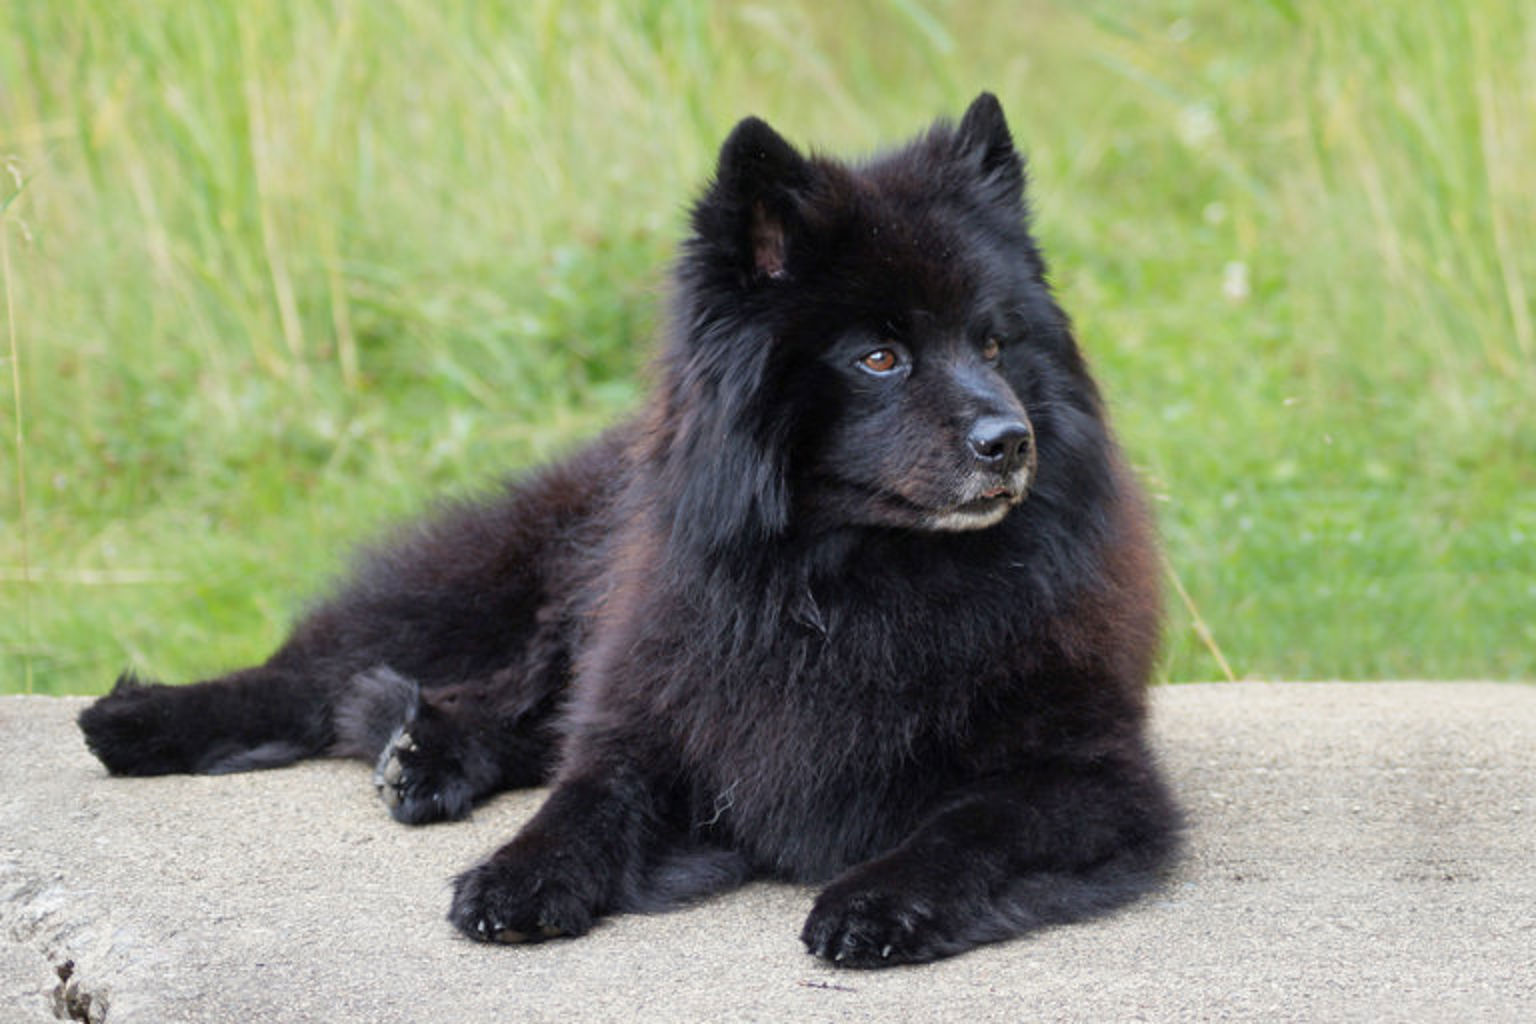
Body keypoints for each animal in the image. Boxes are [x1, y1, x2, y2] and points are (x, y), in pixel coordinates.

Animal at [77, 92, 1179, 964]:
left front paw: (877, 899)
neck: (847, 583)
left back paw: (422, 752)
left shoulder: (1087, 779)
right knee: (328, 674)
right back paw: (150, 721)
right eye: (879, 357)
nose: (1009, 439)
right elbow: (586, 797)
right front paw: (518, 875)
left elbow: (965, 831)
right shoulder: (652, 717)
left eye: (993, 343)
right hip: (498, 587)